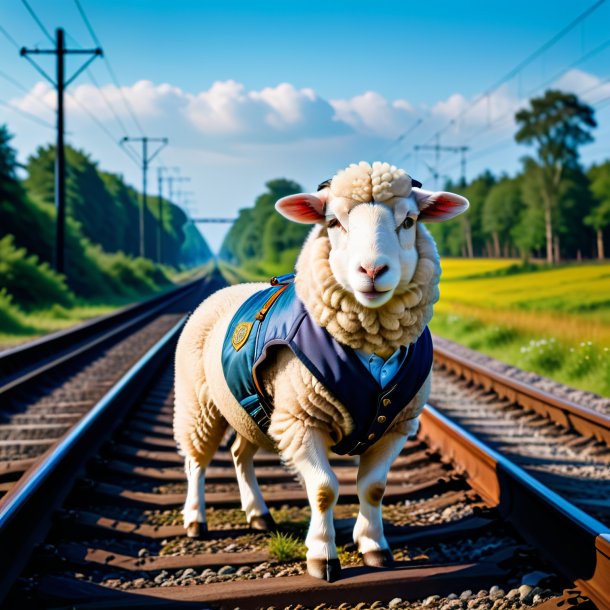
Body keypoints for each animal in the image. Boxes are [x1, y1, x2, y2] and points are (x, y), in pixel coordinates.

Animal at [173, 160, 468, 580]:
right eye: (333, 222)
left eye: (409, 221)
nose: (372, 270)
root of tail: (223, 289)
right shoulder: (300, 421)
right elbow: (325, 489)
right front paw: (322, 557)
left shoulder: (396, 423)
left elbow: (373, 488)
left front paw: (374, 546)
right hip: (198, 402)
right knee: (196, 460)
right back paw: (195, 519)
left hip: (249, 414)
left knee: (239, 453)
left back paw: (258, 514)